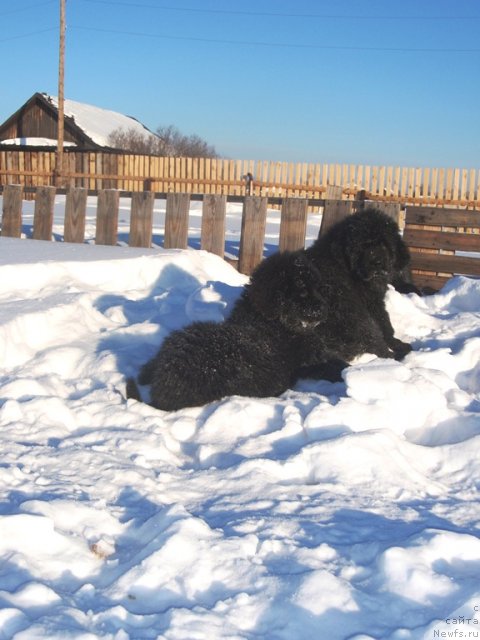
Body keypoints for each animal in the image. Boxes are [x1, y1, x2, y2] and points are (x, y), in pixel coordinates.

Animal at [127, 210, 416, 410]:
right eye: (364, 245)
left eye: (385, 244)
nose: (379, 263)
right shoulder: (352, 318)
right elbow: (375, 338)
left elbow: (386, 330)